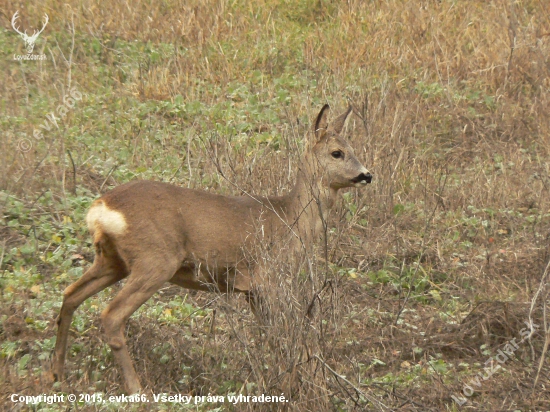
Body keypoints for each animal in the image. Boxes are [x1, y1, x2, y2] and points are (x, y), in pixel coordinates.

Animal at [51, 104, 374, 394]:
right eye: (337, 153)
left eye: (354, 148)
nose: (367, 175)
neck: (290, 218)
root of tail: (100, 209)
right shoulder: (268, 279)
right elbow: (282, 334)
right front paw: (292, 383)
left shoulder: (252, 290)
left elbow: (271, 335)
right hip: (155, 260)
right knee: (111, 315)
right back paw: (137, 390)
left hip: (111, 260)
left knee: (70, 295)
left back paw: (57, 375)